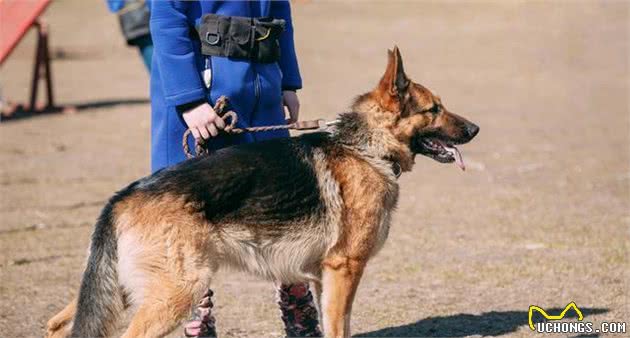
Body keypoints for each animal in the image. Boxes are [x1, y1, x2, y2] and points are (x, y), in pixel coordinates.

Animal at [48, 47, 478, 338]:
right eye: (434, 109)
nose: (475, 129)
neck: (364, 147)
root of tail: (123, 196)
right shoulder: (345, 268)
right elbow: (340, 327)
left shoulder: (324, 276)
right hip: (175, 292)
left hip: (121, 290)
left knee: (58, 324)